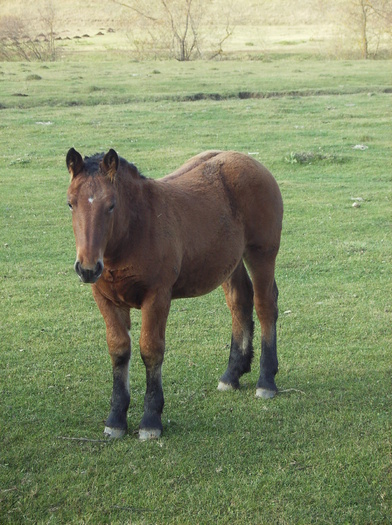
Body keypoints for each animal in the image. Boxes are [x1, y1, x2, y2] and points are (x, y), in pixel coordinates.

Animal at [66, 147, 284, 438]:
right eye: (70, 203)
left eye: (111, 205)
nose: (88, 269)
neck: (135, 230)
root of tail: (251, 161)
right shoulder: (106, 300)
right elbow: (119, 350)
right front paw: (115, 419)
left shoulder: (157, 296)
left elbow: (151, 349)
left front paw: (150, 419)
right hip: (229, 261)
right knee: (240, 302)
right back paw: (232, 374)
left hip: (262, 254)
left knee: (264, 306)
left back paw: (266, 380)